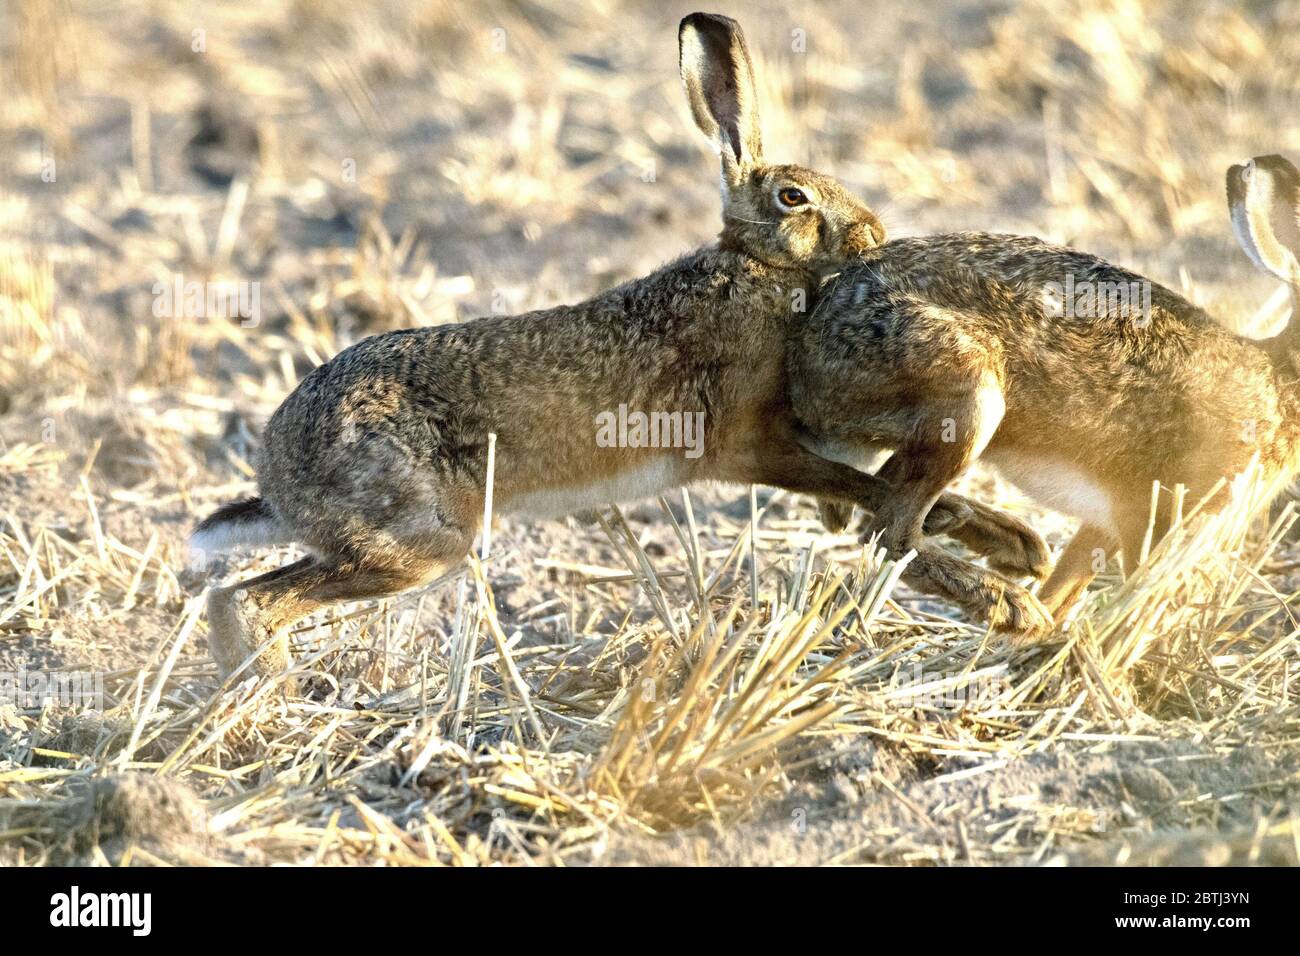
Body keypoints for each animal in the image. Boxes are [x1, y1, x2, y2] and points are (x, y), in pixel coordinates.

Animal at [190, 13, 1051, 685]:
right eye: (794, 197)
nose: (873, 234)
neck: (756, 268)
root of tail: (278, 478)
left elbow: (900, 496)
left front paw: (1020, 549)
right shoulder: (748, 443)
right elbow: (867, 496)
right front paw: (1014, 599)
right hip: (417, 540)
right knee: (246, 598)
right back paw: (268, 693)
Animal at [789, 153, 1300, 637]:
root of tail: (807, 346)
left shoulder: (1109, 522)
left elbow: (1070, 581)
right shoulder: (1162, 509)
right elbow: (1136, 596)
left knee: (885, 495)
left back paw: (1014, 549)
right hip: (971, 391)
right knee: (888, 532)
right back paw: (1010, 604)